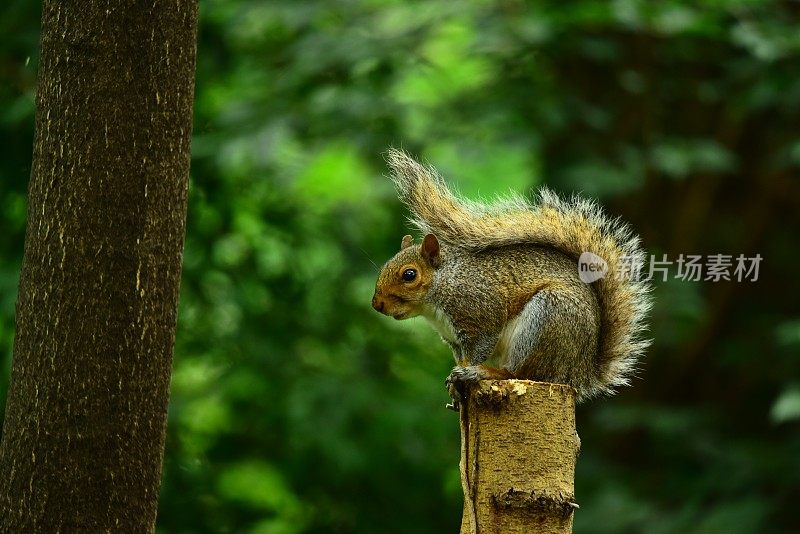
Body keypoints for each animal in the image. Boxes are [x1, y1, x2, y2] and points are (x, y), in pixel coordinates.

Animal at [372, 149, 652, 408]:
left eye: (409, 275)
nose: (377, 304)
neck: (443, 286)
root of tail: (579, 374)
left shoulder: (479, 311)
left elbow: (480, 346)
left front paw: (464, 372)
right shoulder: (453, 339)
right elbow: (463, 356)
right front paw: (455, 386)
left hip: (547, 319)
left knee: (519, 372)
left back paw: (486, 372)